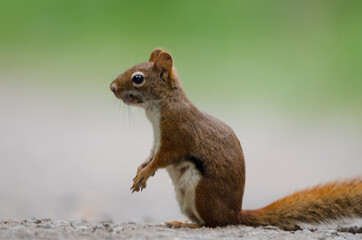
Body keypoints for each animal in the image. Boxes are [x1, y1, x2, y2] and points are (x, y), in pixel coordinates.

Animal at [110, 47, 362, 230]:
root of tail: (235, 214)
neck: (160, 106)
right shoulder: (157, 140)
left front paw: (144, 173)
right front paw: (141, 169)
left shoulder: (177, 134)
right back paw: (181, 221)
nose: (111, 87)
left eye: (138, 78)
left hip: (201, 191)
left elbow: (162, 158)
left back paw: (187, 225)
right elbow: (151, 156)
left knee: (213, 224)